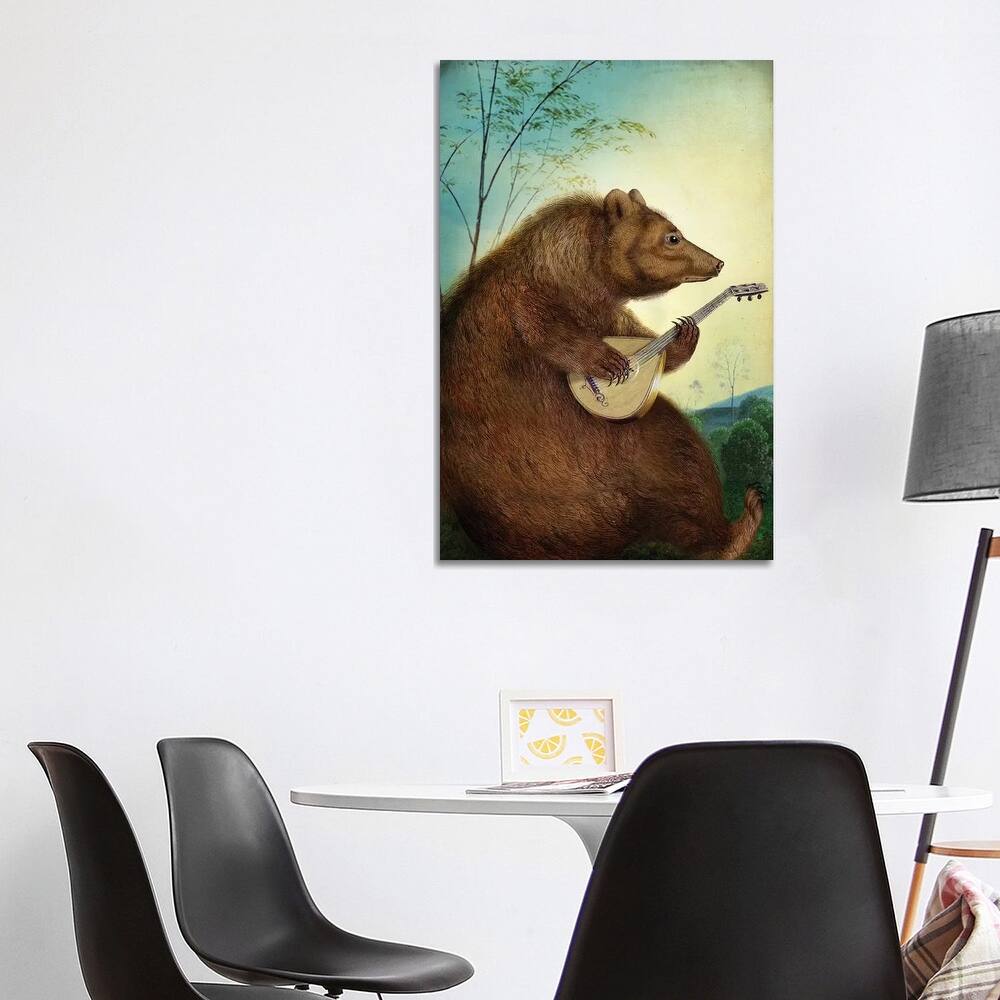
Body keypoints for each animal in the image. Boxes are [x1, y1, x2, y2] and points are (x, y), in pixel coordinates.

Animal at [440, 187, 763, 560]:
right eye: (673, 237)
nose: (718, 262)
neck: (588, 267)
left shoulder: (603, 310)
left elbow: (636, 335)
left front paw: (684, 333)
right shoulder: (538, 284)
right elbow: (542, 323)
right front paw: (608, 362)